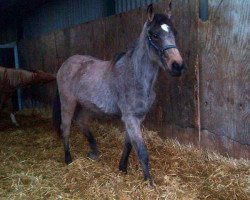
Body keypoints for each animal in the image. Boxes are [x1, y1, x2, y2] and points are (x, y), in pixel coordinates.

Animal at [52, 3, 186, 184]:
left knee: (81, 122)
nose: (177, 66)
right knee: (65, 128)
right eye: (154, 34)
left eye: (174, 32)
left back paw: (94, 152)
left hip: (88, 106)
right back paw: (68, 159)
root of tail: (65, 64)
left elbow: (128, 144)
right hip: (68, 103)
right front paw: (149, 182)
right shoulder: (130, 118)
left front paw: (122, 168)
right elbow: (141, 150)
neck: (135, 75)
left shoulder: (136, 118)